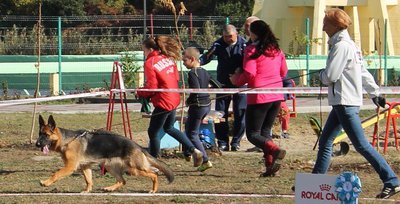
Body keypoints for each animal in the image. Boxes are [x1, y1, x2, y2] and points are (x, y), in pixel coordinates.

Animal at [36, 115, 174, 193]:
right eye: (39, 134)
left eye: (46, 135)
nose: (37, 144)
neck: (67, 140)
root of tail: (138, 146)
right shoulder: (85, 166)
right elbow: (88, 180)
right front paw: (87, 191)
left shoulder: (70, 167)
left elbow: (56, 174)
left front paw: (46, 183)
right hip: (110, 166)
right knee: (122, 180)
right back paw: (109, 188)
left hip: (133, 169)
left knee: (154, 174)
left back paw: (153, 190)